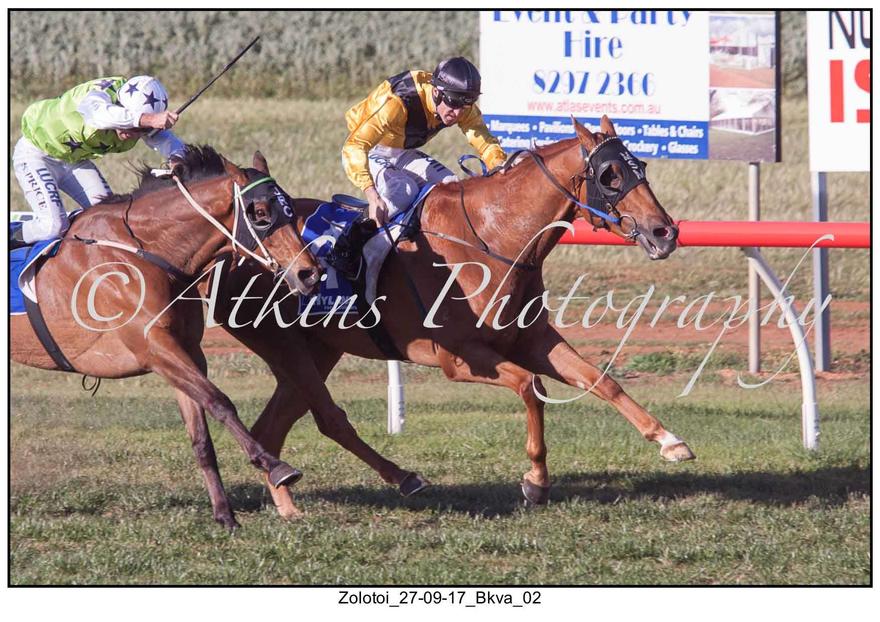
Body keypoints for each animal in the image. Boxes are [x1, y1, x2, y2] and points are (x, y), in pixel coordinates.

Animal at [10, 145, 322, 530]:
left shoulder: (185, 351)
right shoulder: (155, 349)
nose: (309, 273)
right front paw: (275, 466)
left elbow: (201, 438)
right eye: (261, 213)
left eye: (290, 206)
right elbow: (219, 401)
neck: (147, 252)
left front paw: (225, 515)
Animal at [211, 115, 695, 518]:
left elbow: (600, 380)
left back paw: (286, 502)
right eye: (610, 175)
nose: (664, 232)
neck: (491, 237)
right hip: (285, 347)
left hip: (318, 351)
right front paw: (536, 482)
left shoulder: (532, 339)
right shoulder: (459, 357)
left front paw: (670, 441)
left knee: (273, 426)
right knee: (310, 420)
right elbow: (531, 386)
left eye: (641, 167)